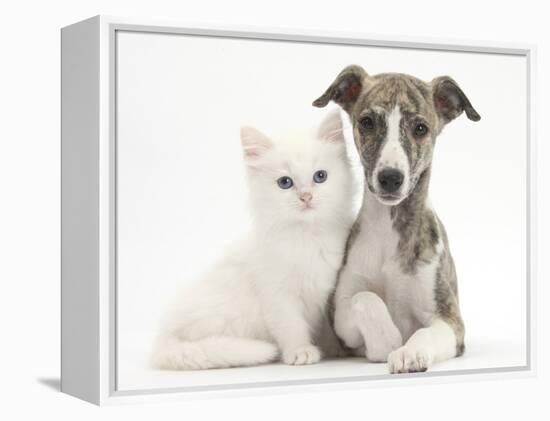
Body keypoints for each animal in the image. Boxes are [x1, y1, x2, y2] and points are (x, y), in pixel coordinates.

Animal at [153, 110, 356, 368]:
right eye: (285, 183)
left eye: (320, 176)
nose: (306, 197)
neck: (307, 236)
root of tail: (163, 338)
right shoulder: (277, 295)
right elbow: (291, 326)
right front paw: (300, 351)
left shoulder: (325, 295)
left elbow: (326, 328)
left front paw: (333, 348)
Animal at [314, 64, 484, 372]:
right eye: (367, 122)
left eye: (421, 128)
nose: (390, 178)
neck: (390, 230)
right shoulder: (340, 313)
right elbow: (365, 299)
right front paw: (387, 341)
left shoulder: (451, 321)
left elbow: (424, 333)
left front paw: (409, 353)